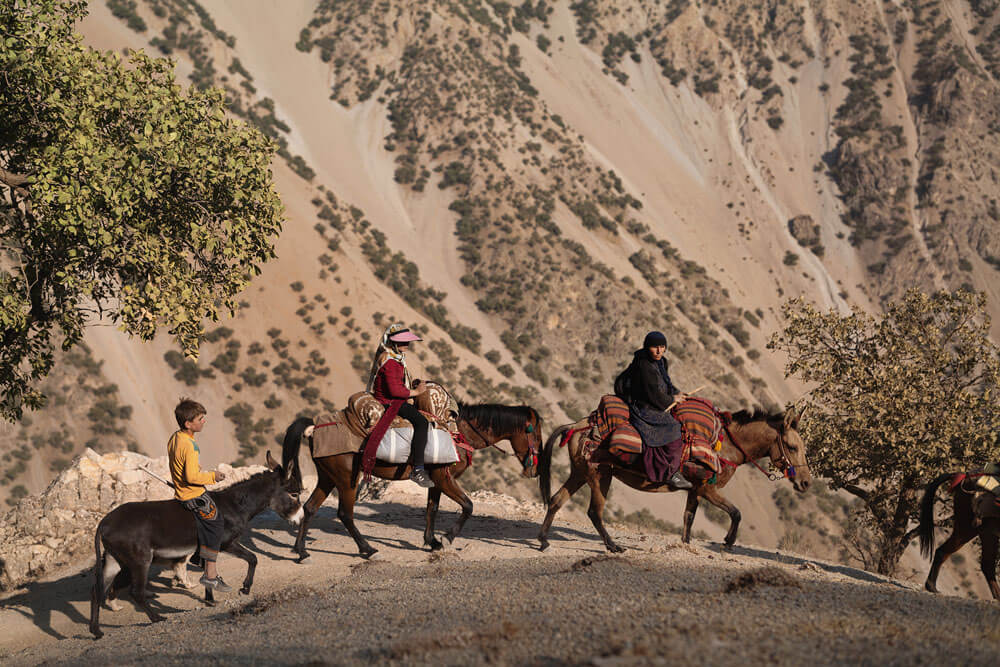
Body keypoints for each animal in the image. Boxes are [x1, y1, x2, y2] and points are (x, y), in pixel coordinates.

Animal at [282, 402, 544, 560]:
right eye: (536, 434)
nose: (534, 470)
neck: (458, 433)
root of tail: (315, 427)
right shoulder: (444, 478)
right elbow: (468, 506)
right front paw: (447, 537)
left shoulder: (436, 481)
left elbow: (432, 509)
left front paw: (432, 541)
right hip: (347, 480)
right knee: (345, 514)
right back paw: (367, 549)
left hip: (328, 477)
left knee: (310, 508)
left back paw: (301, 551)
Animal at [536, 408, 808, 552]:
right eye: (792, 447)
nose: (805, 482)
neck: (725, 447)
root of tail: (577, 425)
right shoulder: (707, 490)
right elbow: (736, 512)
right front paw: (728, 542)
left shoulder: (694, 491)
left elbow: (689, 518)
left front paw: (687, 545)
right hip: (599, 476)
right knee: (594, 511)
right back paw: (613, 546)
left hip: (580, 473)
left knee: (556, 500)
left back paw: (543, 540)